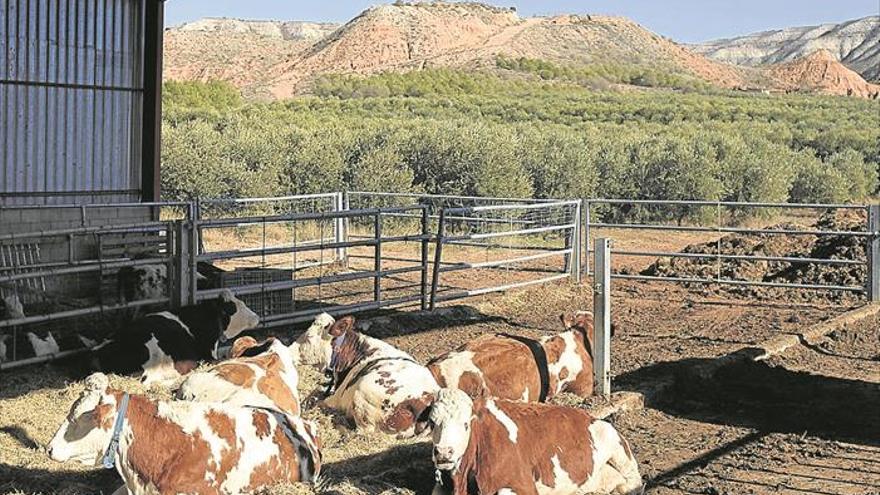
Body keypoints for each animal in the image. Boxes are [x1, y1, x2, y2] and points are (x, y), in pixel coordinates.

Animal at [410, 390, 644, 495]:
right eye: (432, 422)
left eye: (466, 423)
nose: (444, 452)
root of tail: (589, 416)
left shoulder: (523, 485)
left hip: (618, 449)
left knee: (633, 481)